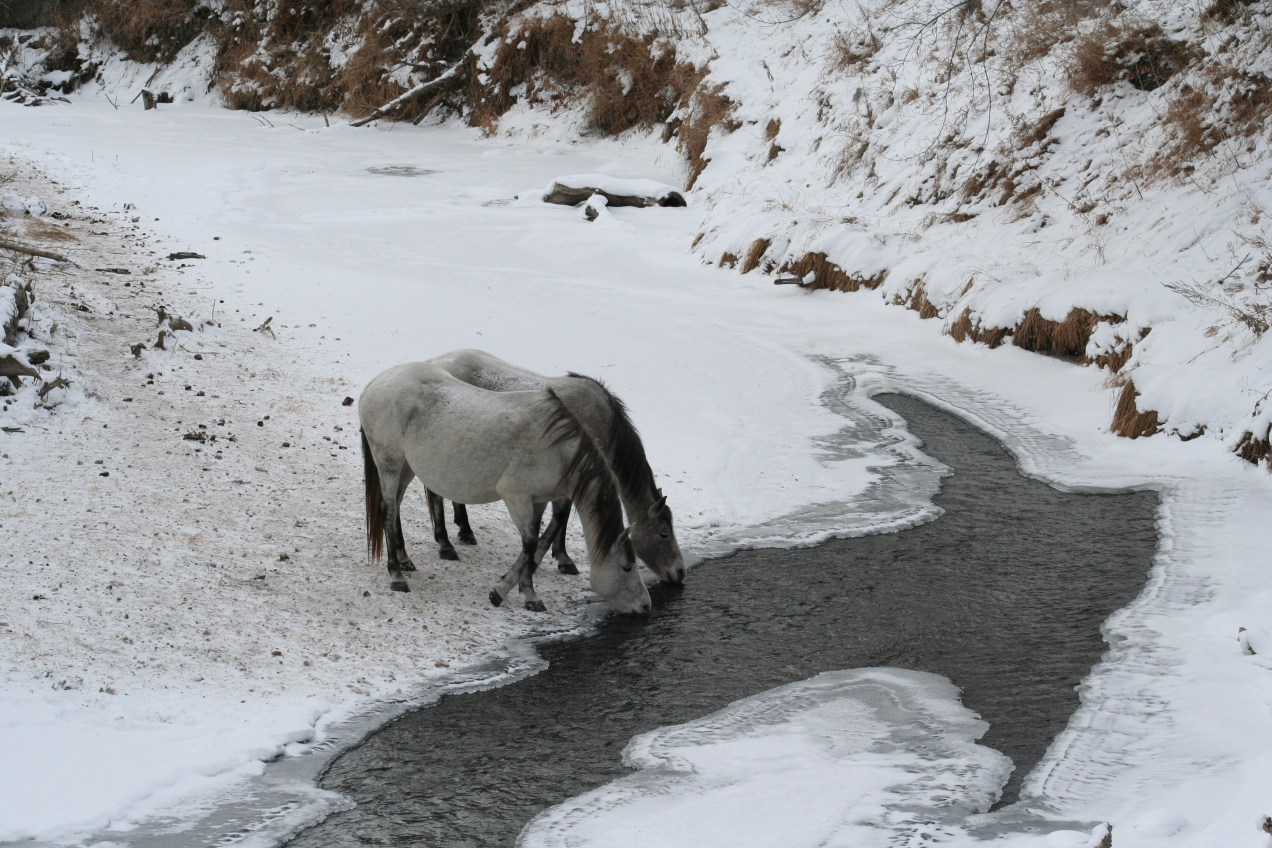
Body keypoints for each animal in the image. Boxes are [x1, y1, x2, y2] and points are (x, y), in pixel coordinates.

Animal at [359, 361, 651, 614]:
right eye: (627, 567)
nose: (646, 606)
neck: (557, 447)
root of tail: (374, 384)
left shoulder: (538, 499)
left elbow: (533, 543)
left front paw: (525, 590)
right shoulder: (516, 497)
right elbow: (530, 543)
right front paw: (506, 592)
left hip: (407, 468)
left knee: (395, 507)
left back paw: (405, 560)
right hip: (389, 462)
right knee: (387, 510)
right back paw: (397, 575)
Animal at [423, 349, 686, 585]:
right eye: (663, 533)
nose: (680, 572)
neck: (596, 421)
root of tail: (433, 362)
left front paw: (559, 558)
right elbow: (558, 520)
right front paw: (546, 561)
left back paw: (465, 531)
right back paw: (445, 544)